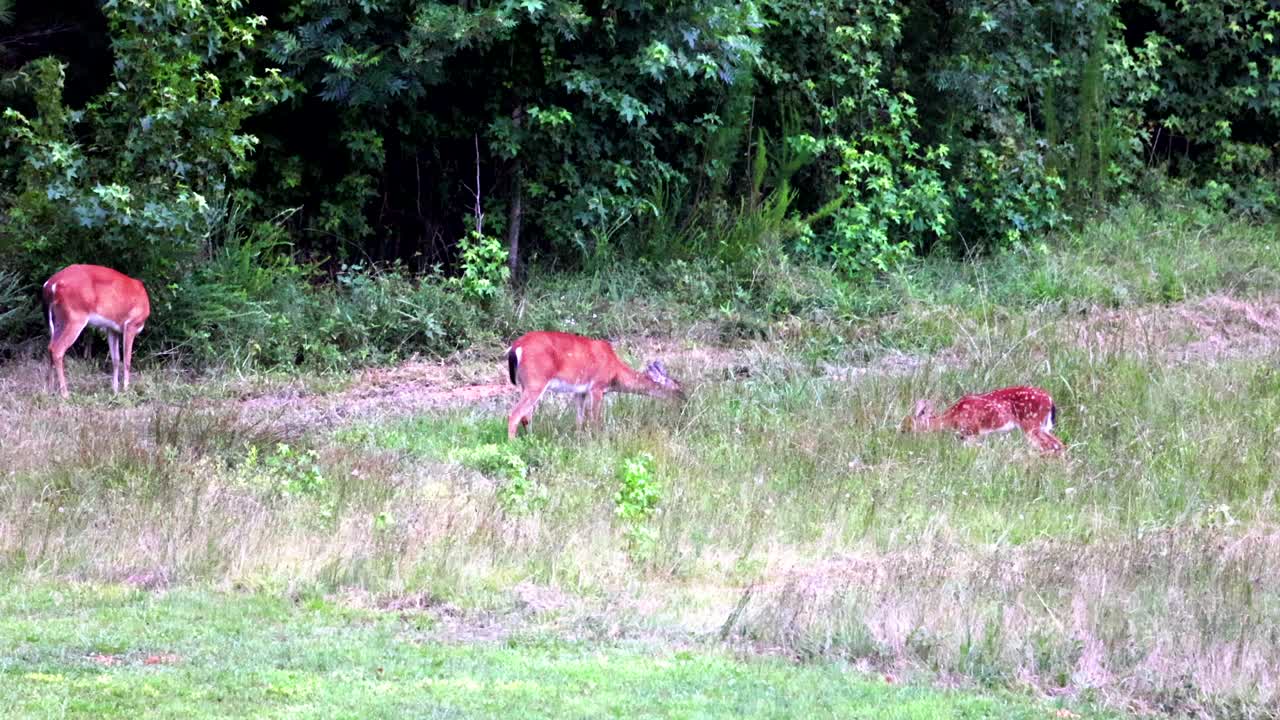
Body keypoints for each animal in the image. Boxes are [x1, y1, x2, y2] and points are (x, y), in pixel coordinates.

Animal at [42, 263, 151, 397]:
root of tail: (51, 284)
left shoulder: (112, 329)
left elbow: (116, 359)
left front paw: (115, 390)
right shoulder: (131, 324)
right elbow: (127, 360)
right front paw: (126, 390)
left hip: (59, 319)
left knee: (50, 347)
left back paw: (49, 390)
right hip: (75, 317)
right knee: (57, 349)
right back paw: (65, 394)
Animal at [506, 330, 691, 438]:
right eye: (677, 387)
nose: (685, 401)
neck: (615, 370)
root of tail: (516, 347)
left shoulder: (580, 390)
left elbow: (580, 419)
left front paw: (579, 439)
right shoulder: (597, 386)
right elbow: (595, 419)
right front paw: (596, 441)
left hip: (525, 384)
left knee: (526, 416)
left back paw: (530, 439)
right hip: (536, 381)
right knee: (515, 414)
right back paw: (513, 444)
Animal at [901, 384, 1070, 450]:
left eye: (906, 427)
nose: (900, 435)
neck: (952, 417)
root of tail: (1050, 400)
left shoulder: (972, 431)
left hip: (1032, 425)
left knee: (1052, 446)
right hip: (1042, 427)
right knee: (1058, 445)